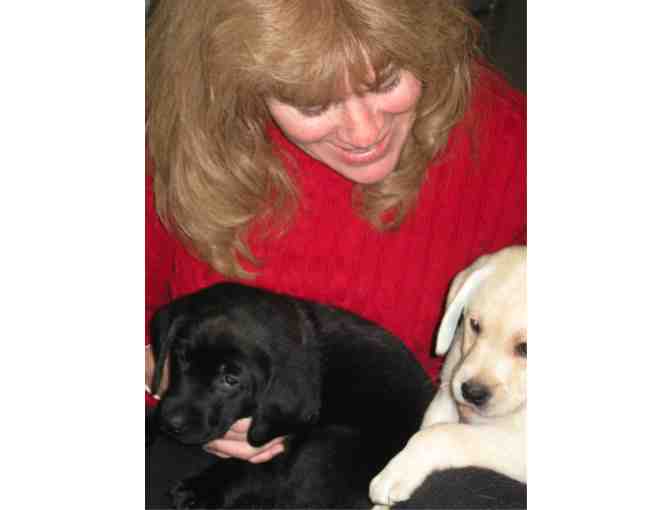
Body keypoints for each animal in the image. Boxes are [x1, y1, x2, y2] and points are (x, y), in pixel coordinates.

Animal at [147, 283, 435, 509]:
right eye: (182, 357)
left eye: (230, 380)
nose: (171, 424)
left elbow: (254, 466)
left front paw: (202, 488)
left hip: (330, 446)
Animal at [370, 245, 527, 506]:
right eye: (474, 325)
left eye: (525, 348)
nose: (472, 393)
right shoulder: (446, 394)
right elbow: (430, 428)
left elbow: (444, 434)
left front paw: (397, 472)